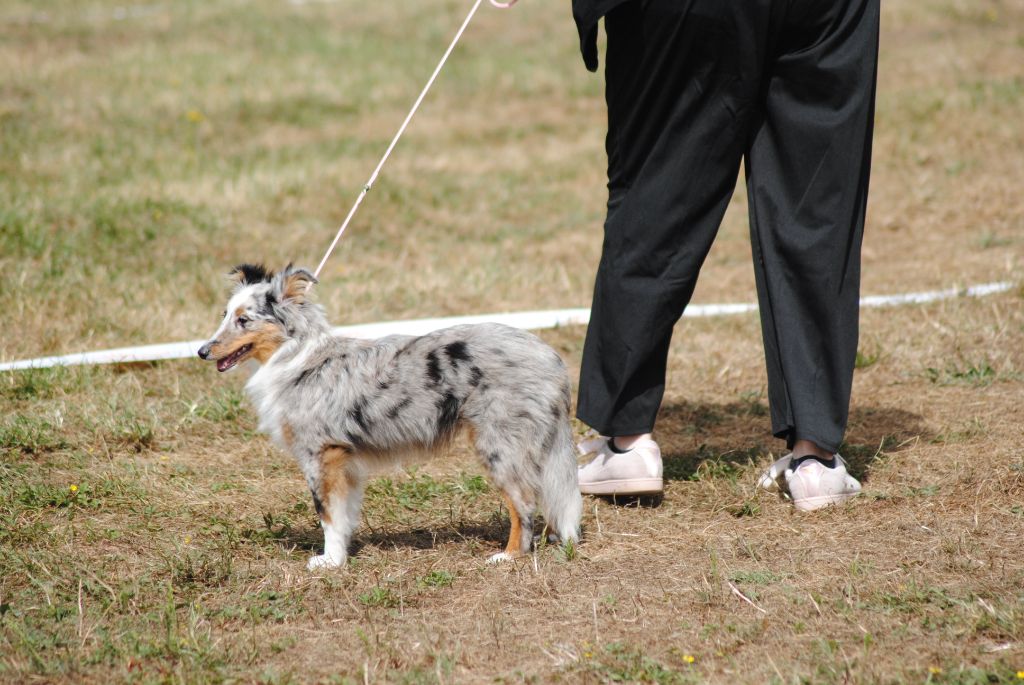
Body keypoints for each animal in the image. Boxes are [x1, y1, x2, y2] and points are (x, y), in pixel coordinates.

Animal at [198, 264, 582, 569]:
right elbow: (344, 516)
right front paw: (342, 553)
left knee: (524, 503)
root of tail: (551, 357)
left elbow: (327, 515)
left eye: (243, 320)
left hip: (498, 445)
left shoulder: (320, 455)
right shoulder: (347, 463)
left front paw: (329, 562)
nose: (201, 351)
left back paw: (509, 555)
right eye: (224, 315)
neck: (297, 356)